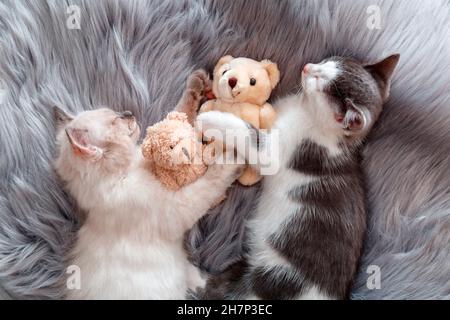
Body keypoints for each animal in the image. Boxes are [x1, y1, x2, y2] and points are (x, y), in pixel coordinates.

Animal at [54, 106, 241, 298]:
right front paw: (230, 159)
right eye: (115, 120)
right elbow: (210, 182)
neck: (124, 173)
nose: (128, 113)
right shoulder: (176, 210)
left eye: (115, 113)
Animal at [197, 53, 400, 300]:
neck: (306, 112)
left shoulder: (286, 151)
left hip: (275, 277)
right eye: (329, 62)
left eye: (319, 82)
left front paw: (214, 118)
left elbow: (250, 134)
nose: (307, 67)